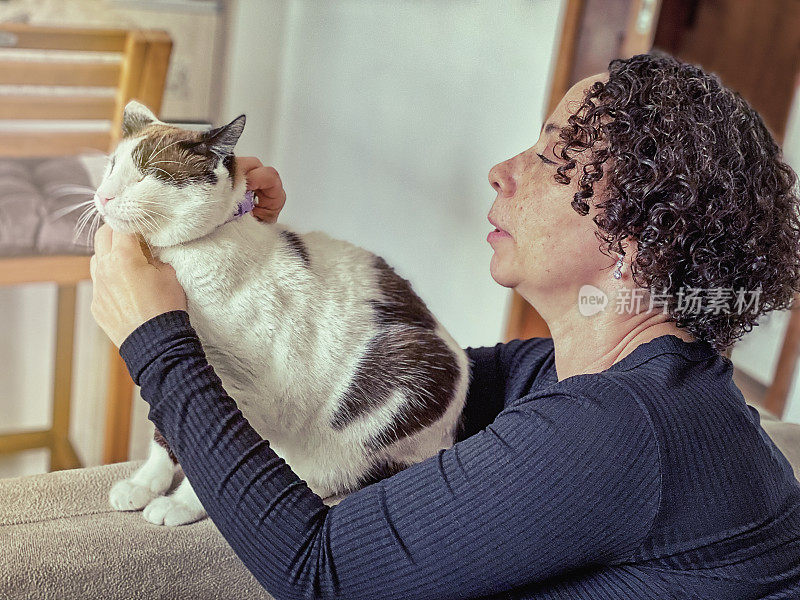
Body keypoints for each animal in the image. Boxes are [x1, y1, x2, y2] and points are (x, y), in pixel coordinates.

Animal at [103, 102, 472, 524]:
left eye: (147, 175)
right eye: (111, 167)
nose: (104, 196)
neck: (183, 258)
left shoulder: (243, 390)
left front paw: (180, 504)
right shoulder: (177, 373)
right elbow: (166, 432)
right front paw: (144, 484)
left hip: (408, 371)